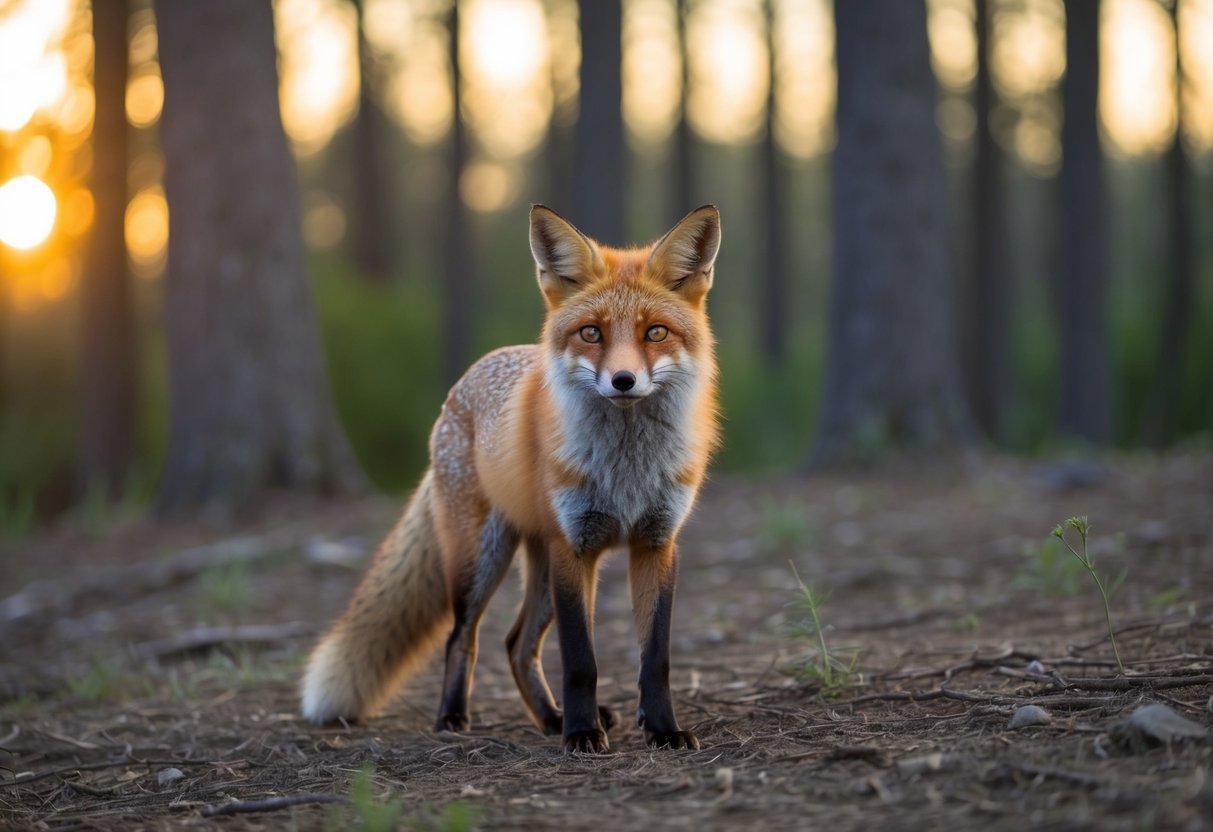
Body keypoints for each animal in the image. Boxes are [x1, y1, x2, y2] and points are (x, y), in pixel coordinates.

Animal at [301, 204, 722, 753]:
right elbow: (581, 661)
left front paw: (662, 730)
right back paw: (456, 717)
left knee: (517, 645)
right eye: (591, 333)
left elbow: (656, 660)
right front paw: (581, 734)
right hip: (483, 561)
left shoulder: (656, 543)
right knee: (465, 637)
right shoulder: (574, 547)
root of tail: (466, 379)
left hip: (543, 571)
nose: (623, 381)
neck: (626, 470)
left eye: (655, 333)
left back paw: (549, 718)